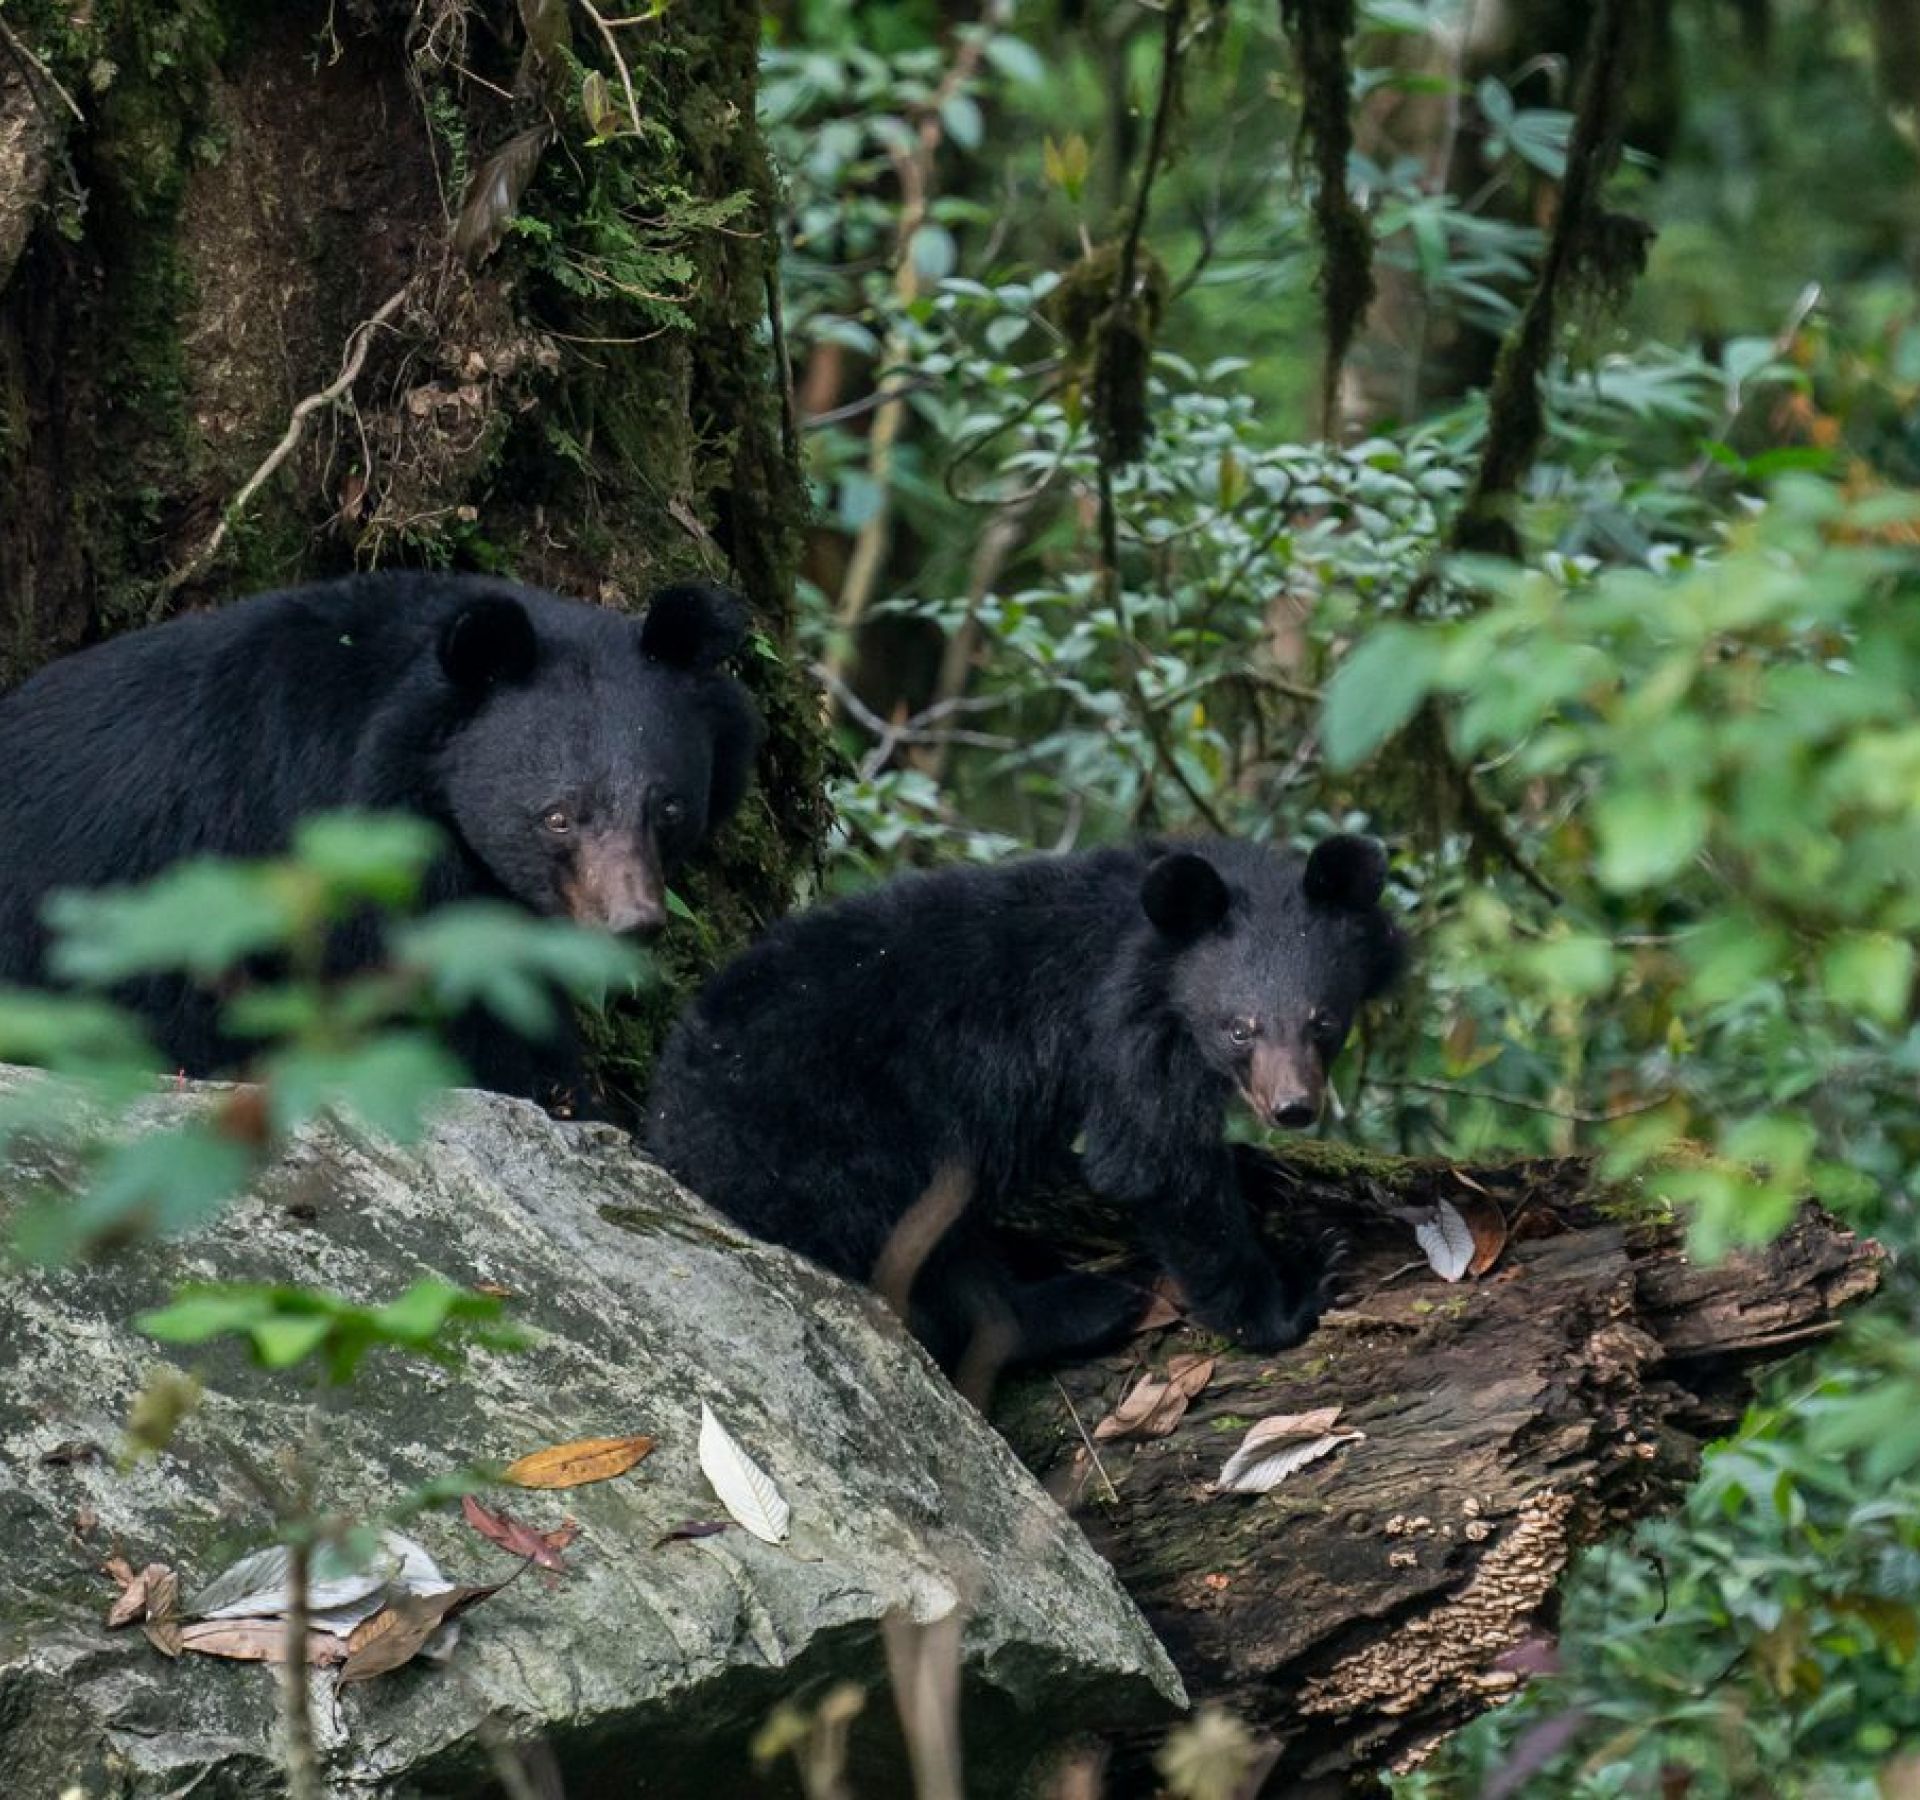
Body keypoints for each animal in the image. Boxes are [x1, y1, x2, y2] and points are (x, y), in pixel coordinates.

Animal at [645, 832, 1403, 1370]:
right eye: (1238, 1028)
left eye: (1323, 1020)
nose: (1293, 1108)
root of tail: (668, 1123)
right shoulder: (1122, 1031)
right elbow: (1151, 1159)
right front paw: (1294, 1290)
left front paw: (1256, 1170)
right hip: (833, 1144)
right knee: (922, 1269)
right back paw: (1087, 1305)